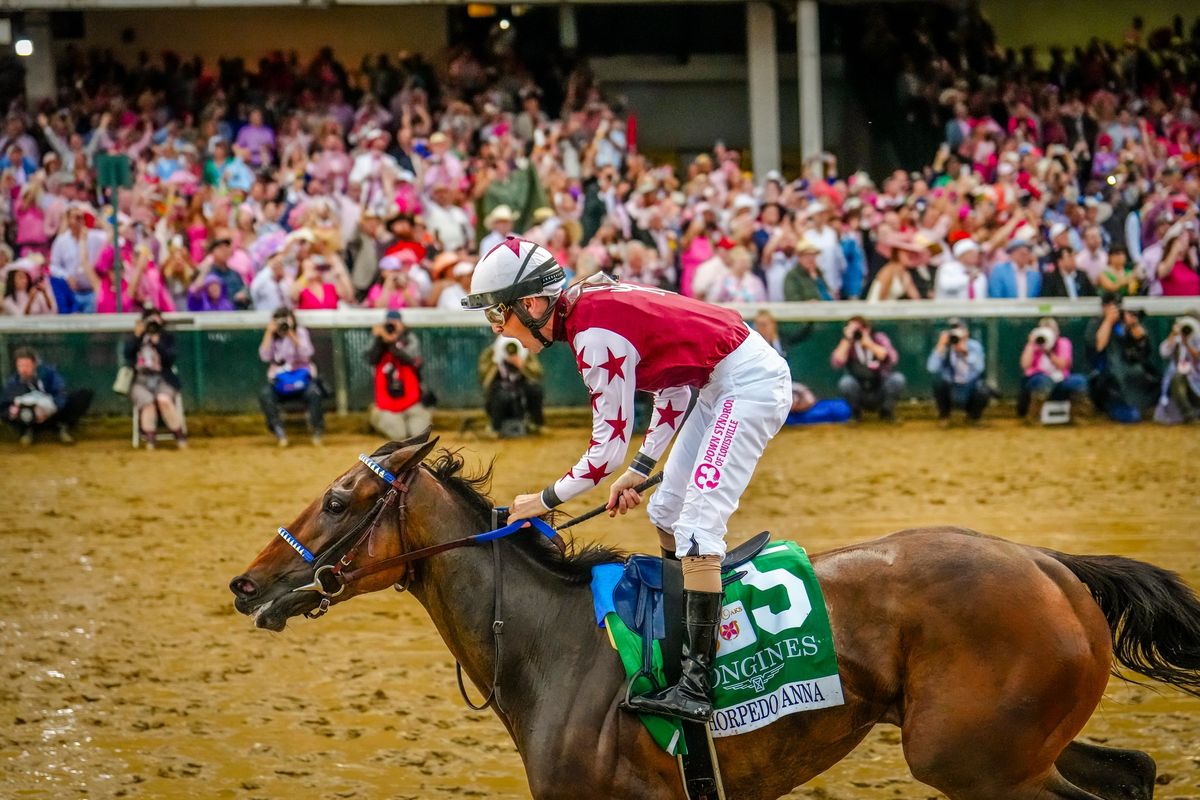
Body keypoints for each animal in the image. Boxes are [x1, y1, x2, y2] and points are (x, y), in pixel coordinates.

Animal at [226, 434, 1200, 796]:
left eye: (340, 500)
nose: (247, 583)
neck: (553, 646)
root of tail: (1050, 564)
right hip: (1023, 739)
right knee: (1132, 772)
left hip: (975, 761)